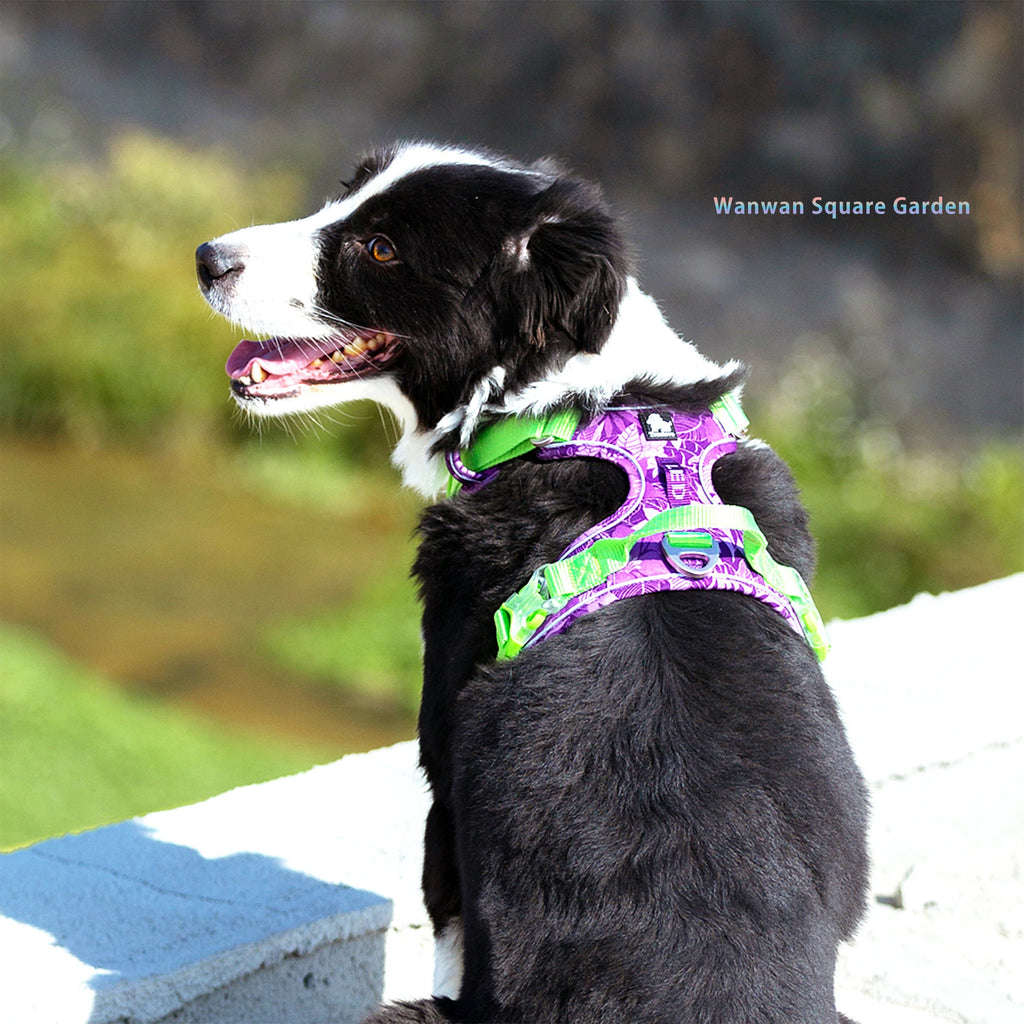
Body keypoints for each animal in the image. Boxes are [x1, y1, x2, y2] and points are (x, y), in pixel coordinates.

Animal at [195, 140, 868, 1019]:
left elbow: (448, 920)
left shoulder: (445, 784)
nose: (206, 257)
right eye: (346, 195)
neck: (581, 410)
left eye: (379, 248)